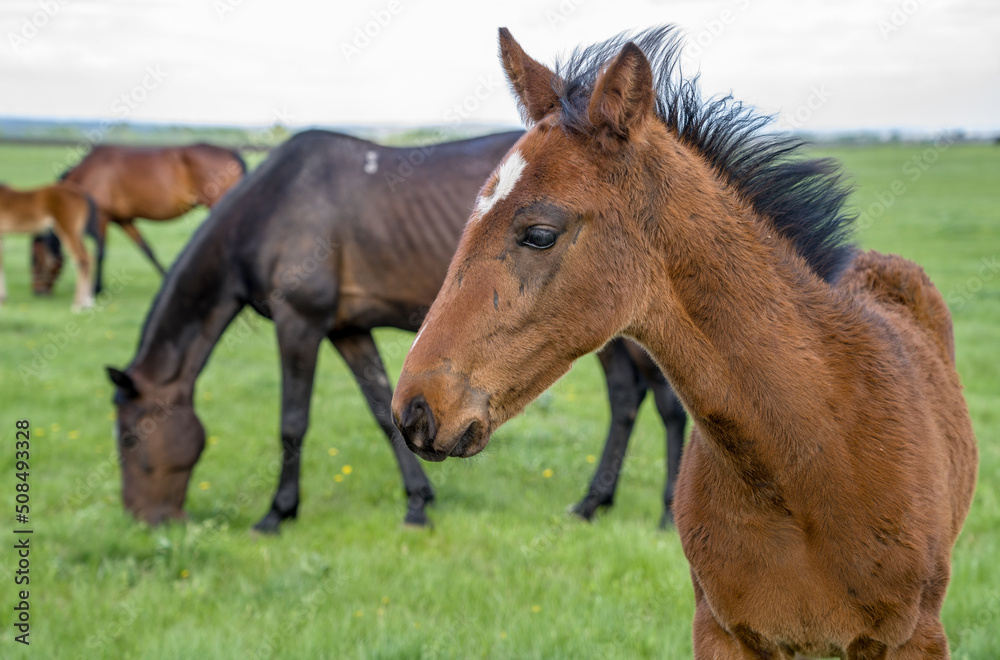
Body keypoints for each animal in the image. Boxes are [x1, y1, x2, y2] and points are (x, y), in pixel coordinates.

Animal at [0, 183, 94, 312]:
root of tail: (79, 195)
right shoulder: (2, 236)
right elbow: (2, 264)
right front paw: (3, 298)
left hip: (68, 230)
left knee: (82, 260)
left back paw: (78, 304)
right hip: (77, 232)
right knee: (88, 258)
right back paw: (88, 303)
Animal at [41, 144, 248, 292]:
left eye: (37, 258)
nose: (39, 292)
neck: (89, 174)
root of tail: (231, 153)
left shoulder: (101, 216)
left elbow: (100, 251)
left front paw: (97, 288)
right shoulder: (124, 220)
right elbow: (146, 249)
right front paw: (166, 277)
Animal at [107, 129, 688, 532]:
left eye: (130, 436)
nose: (143, 519)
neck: (274, 205)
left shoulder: (300, 323)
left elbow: (292, 422)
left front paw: (277, 513)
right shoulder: (347, 329)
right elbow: (381, 408)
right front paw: (418, 504)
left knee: (661, 401)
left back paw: (663, 512)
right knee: (628, 397)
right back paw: (593, 503)